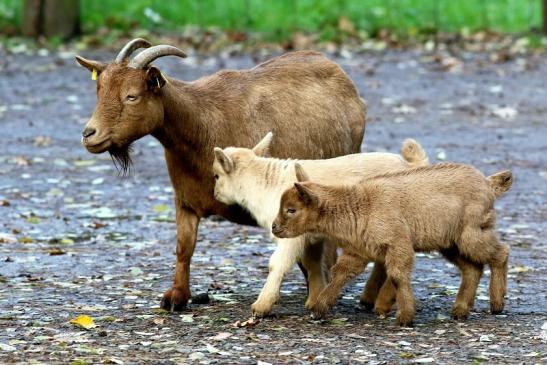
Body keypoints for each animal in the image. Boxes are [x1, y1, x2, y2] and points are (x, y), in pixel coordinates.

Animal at [75, 37, 368, 310]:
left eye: (132, 96)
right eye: (99, 91)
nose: (89, 134)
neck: (201, 125)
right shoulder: (185, 200)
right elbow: (184, 246)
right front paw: (176, 297)